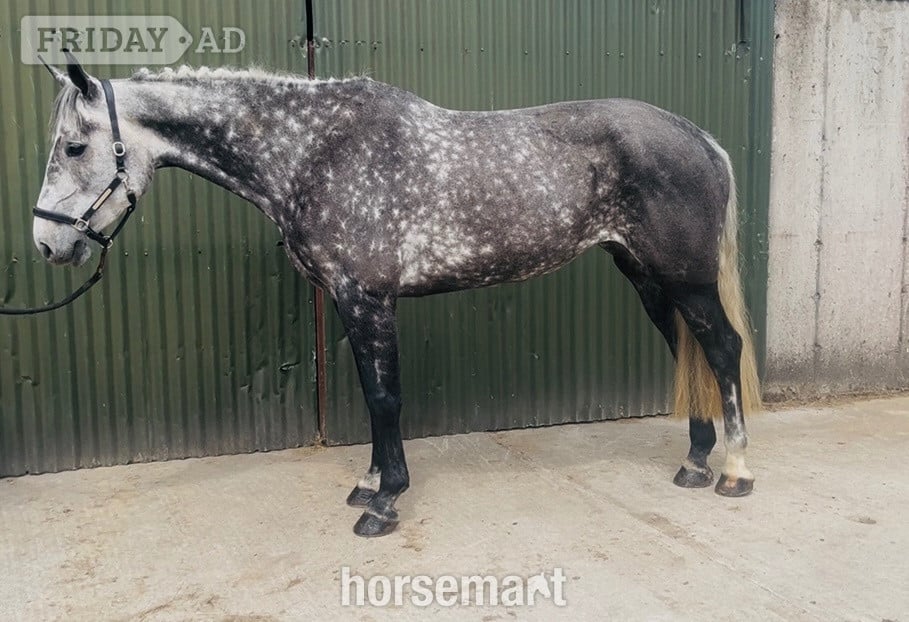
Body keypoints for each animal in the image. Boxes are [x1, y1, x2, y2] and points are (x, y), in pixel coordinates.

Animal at [31, 55, 761, 537]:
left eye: (74, 146)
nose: (46, 244)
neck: (313, 152)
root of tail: (700, 139)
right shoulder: (350, 301)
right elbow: (370, 396)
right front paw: (370, 484)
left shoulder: (366, 298)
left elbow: (384, 398)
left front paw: (385, 503)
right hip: (649, 279)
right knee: (688, 351)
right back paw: (695, 460)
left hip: (687, 280)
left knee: (722, 349)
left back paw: (735, 471)